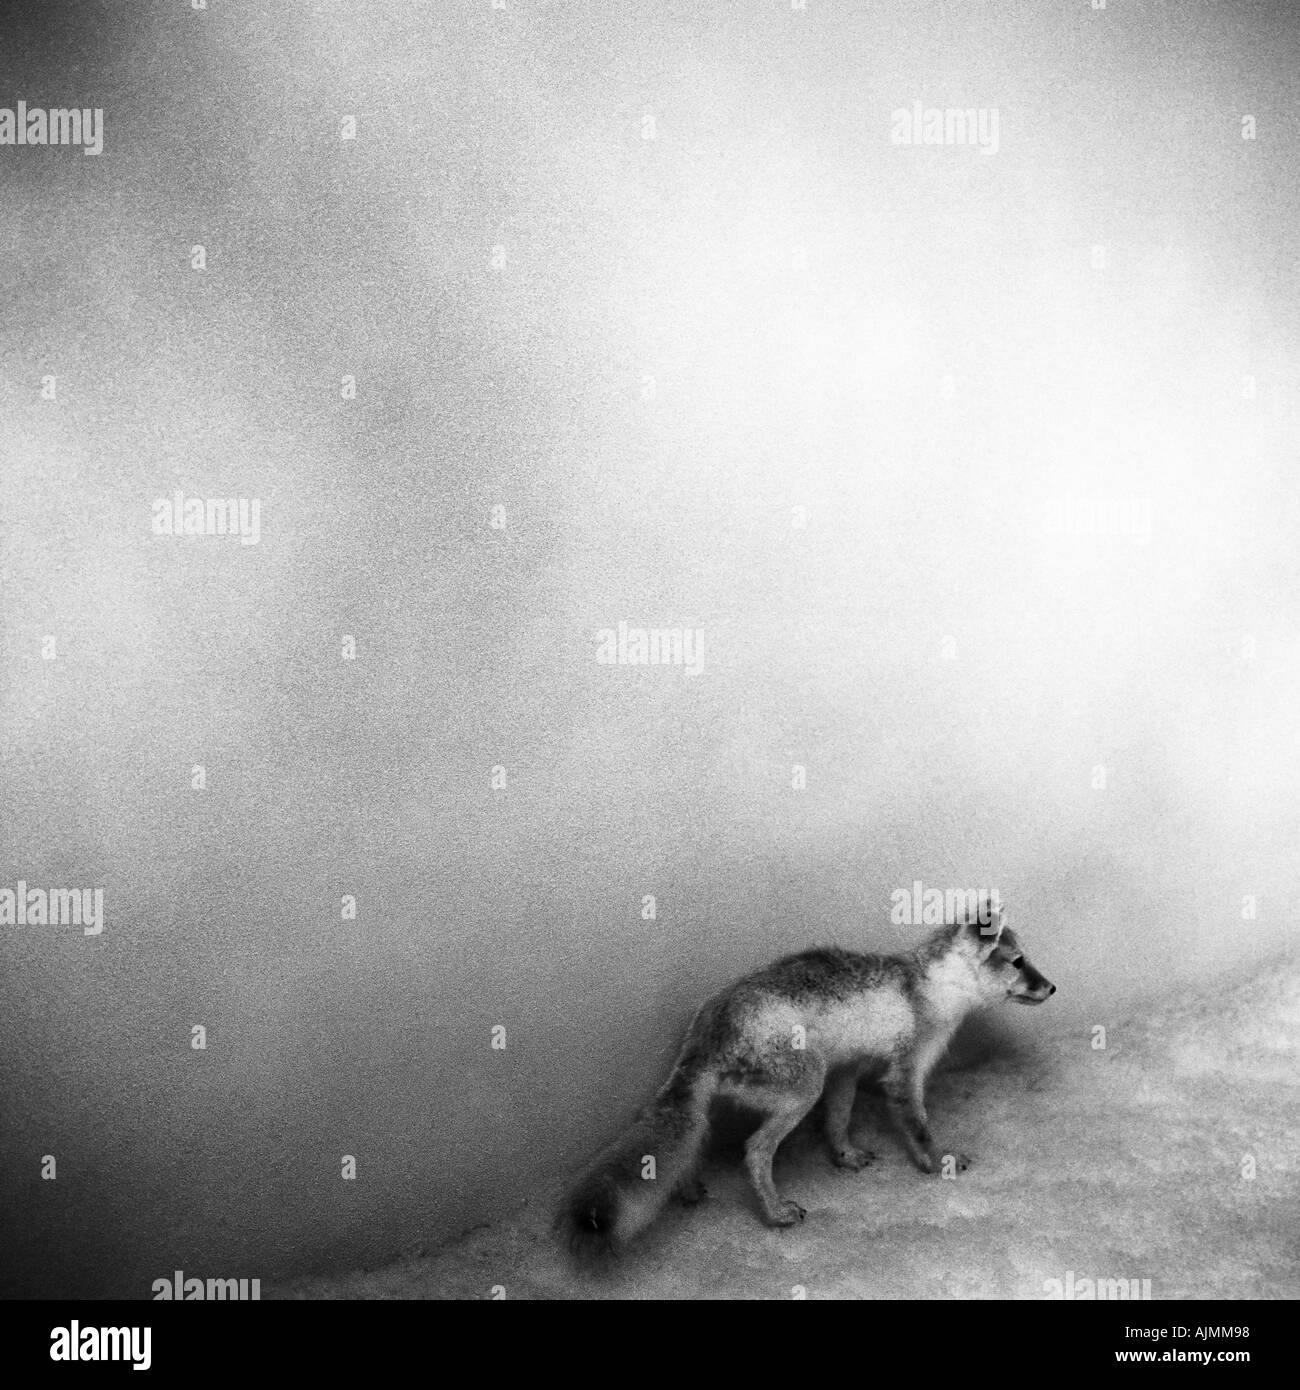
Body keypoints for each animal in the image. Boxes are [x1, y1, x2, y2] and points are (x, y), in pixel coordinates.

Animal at [558, 900, 1056, 1262]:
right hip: (802, 1090)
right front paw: (938, 1162)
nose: (1052, 987)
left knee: (683, 1134)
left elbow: (838, 1121)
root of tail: (709, 1026)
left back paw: (688, 1187)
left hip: (728, 1101)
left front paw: (845, 1156)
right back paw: (775, 1212)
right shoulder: (903, 1075)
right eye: (1019, 962)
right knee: (754, 1150)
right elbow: (919, 1129)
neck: (930, 988)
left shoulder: (847, 1071)